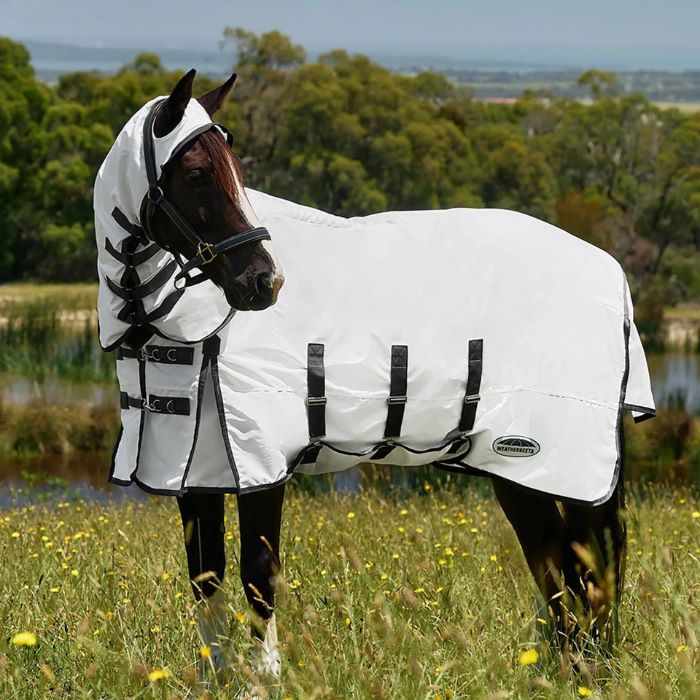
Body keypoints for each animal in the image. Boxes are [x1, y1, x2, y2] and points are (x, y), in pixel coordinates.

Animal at [94, 69, 654, 692]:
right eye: (195, 173)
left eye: (237, 171)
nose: (265, 283)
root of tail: (611, 273)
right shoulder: (197, 474)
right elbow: (205, 577)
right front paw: (218, 676)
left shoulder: (261, 463)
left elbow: (258, 573)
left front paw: (265, 679)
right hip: (516, 470)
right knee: (559, 563)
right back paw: (569, 669)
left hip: (554, 464)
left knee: (586, 566)